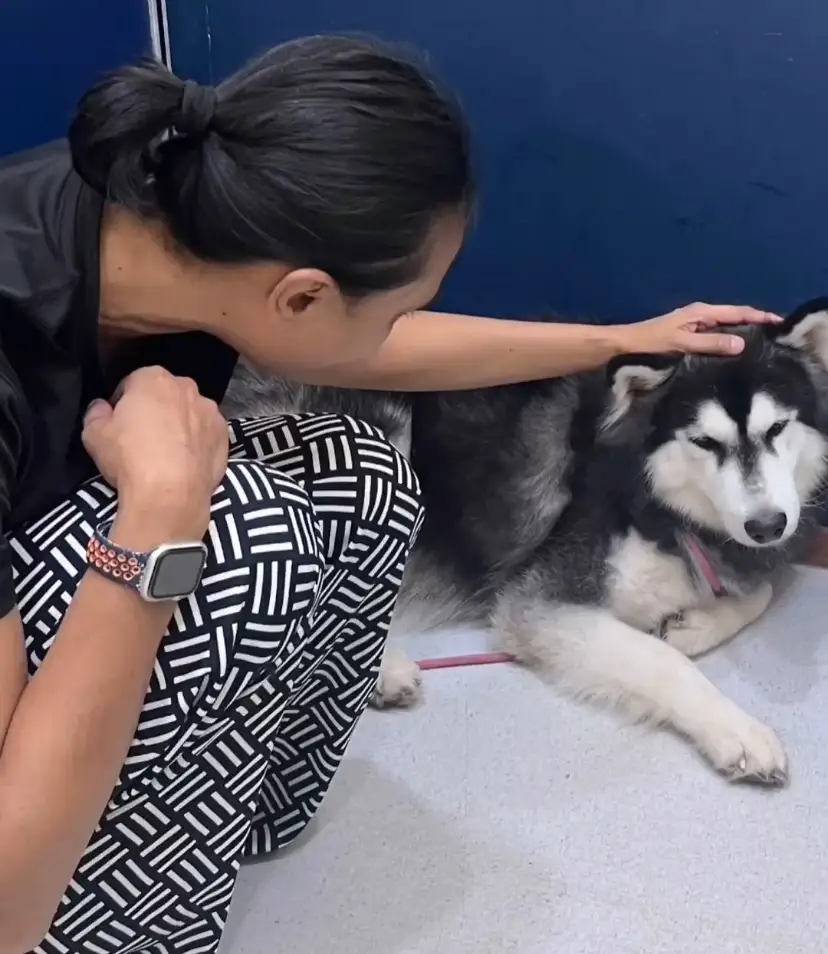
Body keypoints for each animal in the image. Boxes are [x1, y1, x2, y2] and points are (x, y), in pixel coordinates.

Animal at [218, 298, 828, 780]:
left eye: (777, 429)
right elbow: (660, 659)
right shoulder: (541, 600)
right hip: (379, 433)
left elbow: (759, 589)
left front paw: (693, 624)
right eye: (705, 442)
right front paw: (737, 729)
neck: (659, 499)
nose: (767, 524)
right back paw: (383, 670)